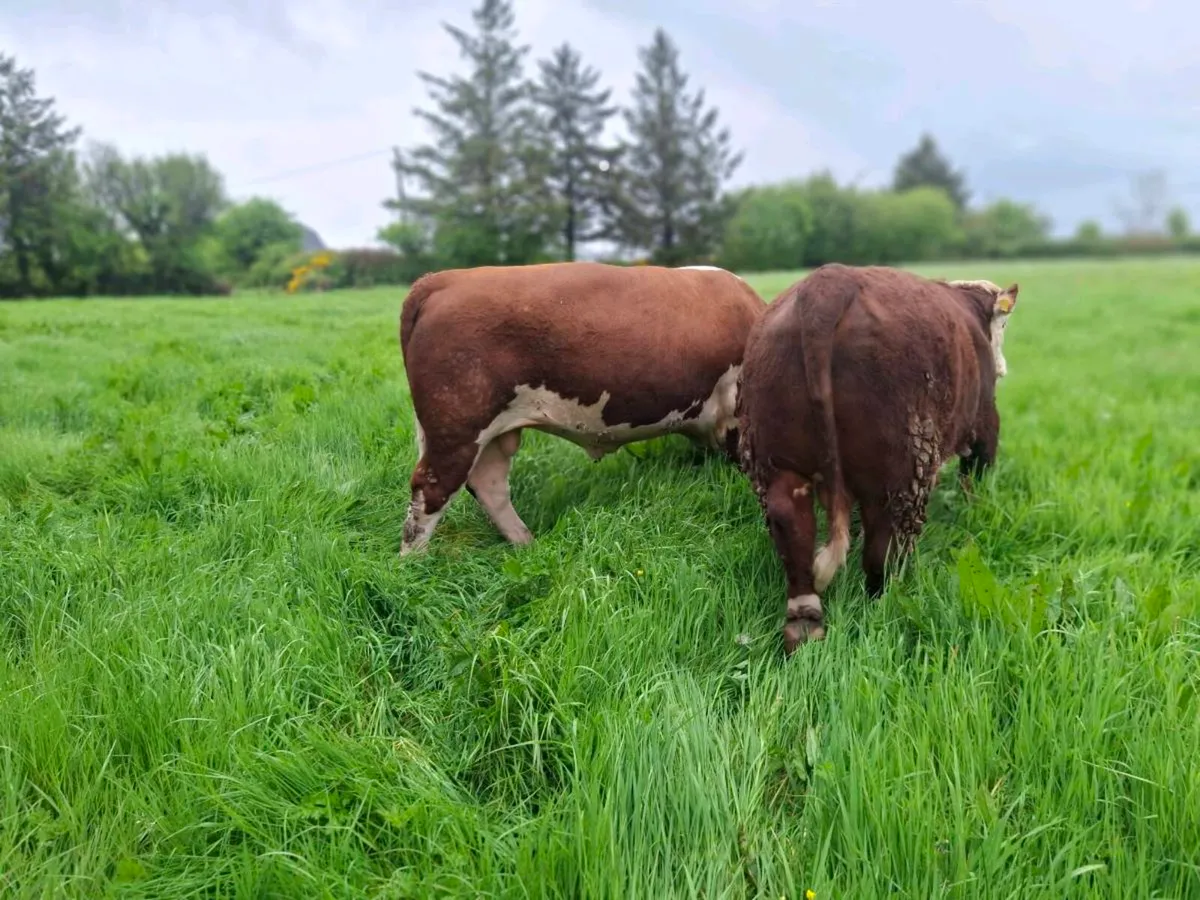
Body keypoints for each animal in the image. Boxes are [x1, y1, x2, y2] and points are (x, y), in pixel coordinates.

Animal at [397, 261, 765, 555]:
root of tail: (442, 280)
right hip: (457, 426)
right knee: (431, 490)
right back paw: (414, 564)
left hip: (486, 433)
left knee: (489, 485)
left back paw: (525, 544)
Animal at [735, 263, 1019, 653]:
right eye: (1002, 325)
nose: (1004, 367)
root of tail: (828, 285)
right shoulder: (986, 420)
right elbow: (977, 475)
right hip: (897, 471)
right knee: (882, 546)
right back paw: (885, 601)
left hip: (778, 462)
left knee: (791, 524)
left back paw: (805, 623)